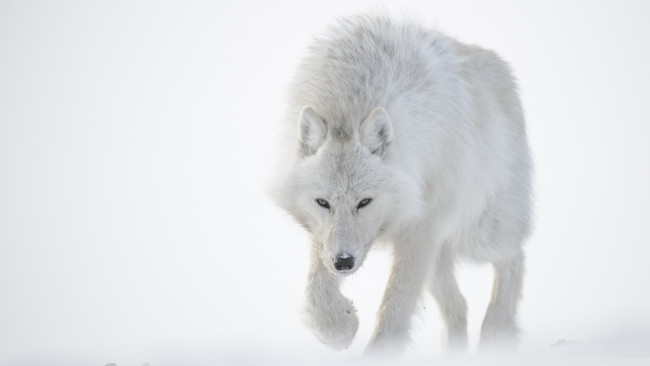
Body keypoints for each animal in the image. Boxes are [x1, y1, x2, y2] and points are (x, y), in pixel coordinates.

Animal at [270, 15, 528, 356]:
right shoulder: (324, 236)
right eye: (323, 203)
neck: (351, 100)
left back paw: (496, 335)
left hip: (479, 234)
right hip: (440, 258)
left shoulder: (421, 226)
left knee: (514, 257)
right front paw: (337, 327)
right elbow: (317, 286)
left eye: (364, 202)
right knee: (459, 306)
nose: (343, 262)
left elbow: (396, 302)